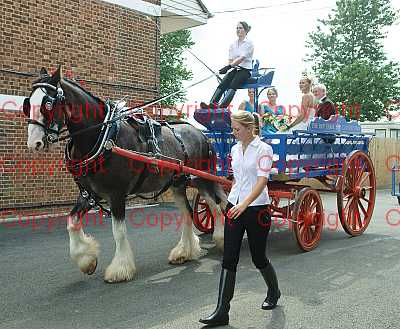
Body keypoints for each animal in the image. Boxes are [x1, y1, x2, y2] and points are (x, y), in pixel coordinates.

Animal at [23, 67, 227, 282]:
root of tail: (200, 133)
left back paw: (220, 240)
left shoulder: (116, 193)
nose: (34, 143)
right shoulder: (89, 194)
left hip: (202, 178)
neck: (103, 137)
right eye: (27, 104)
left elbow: (118, 231)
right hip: (178, 183)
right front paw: (86, 261)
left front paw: (120, 269)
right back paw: (184, 252)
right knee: (188, 212)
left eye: (47, 104)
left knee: (214, 207)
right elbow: (72, 221)